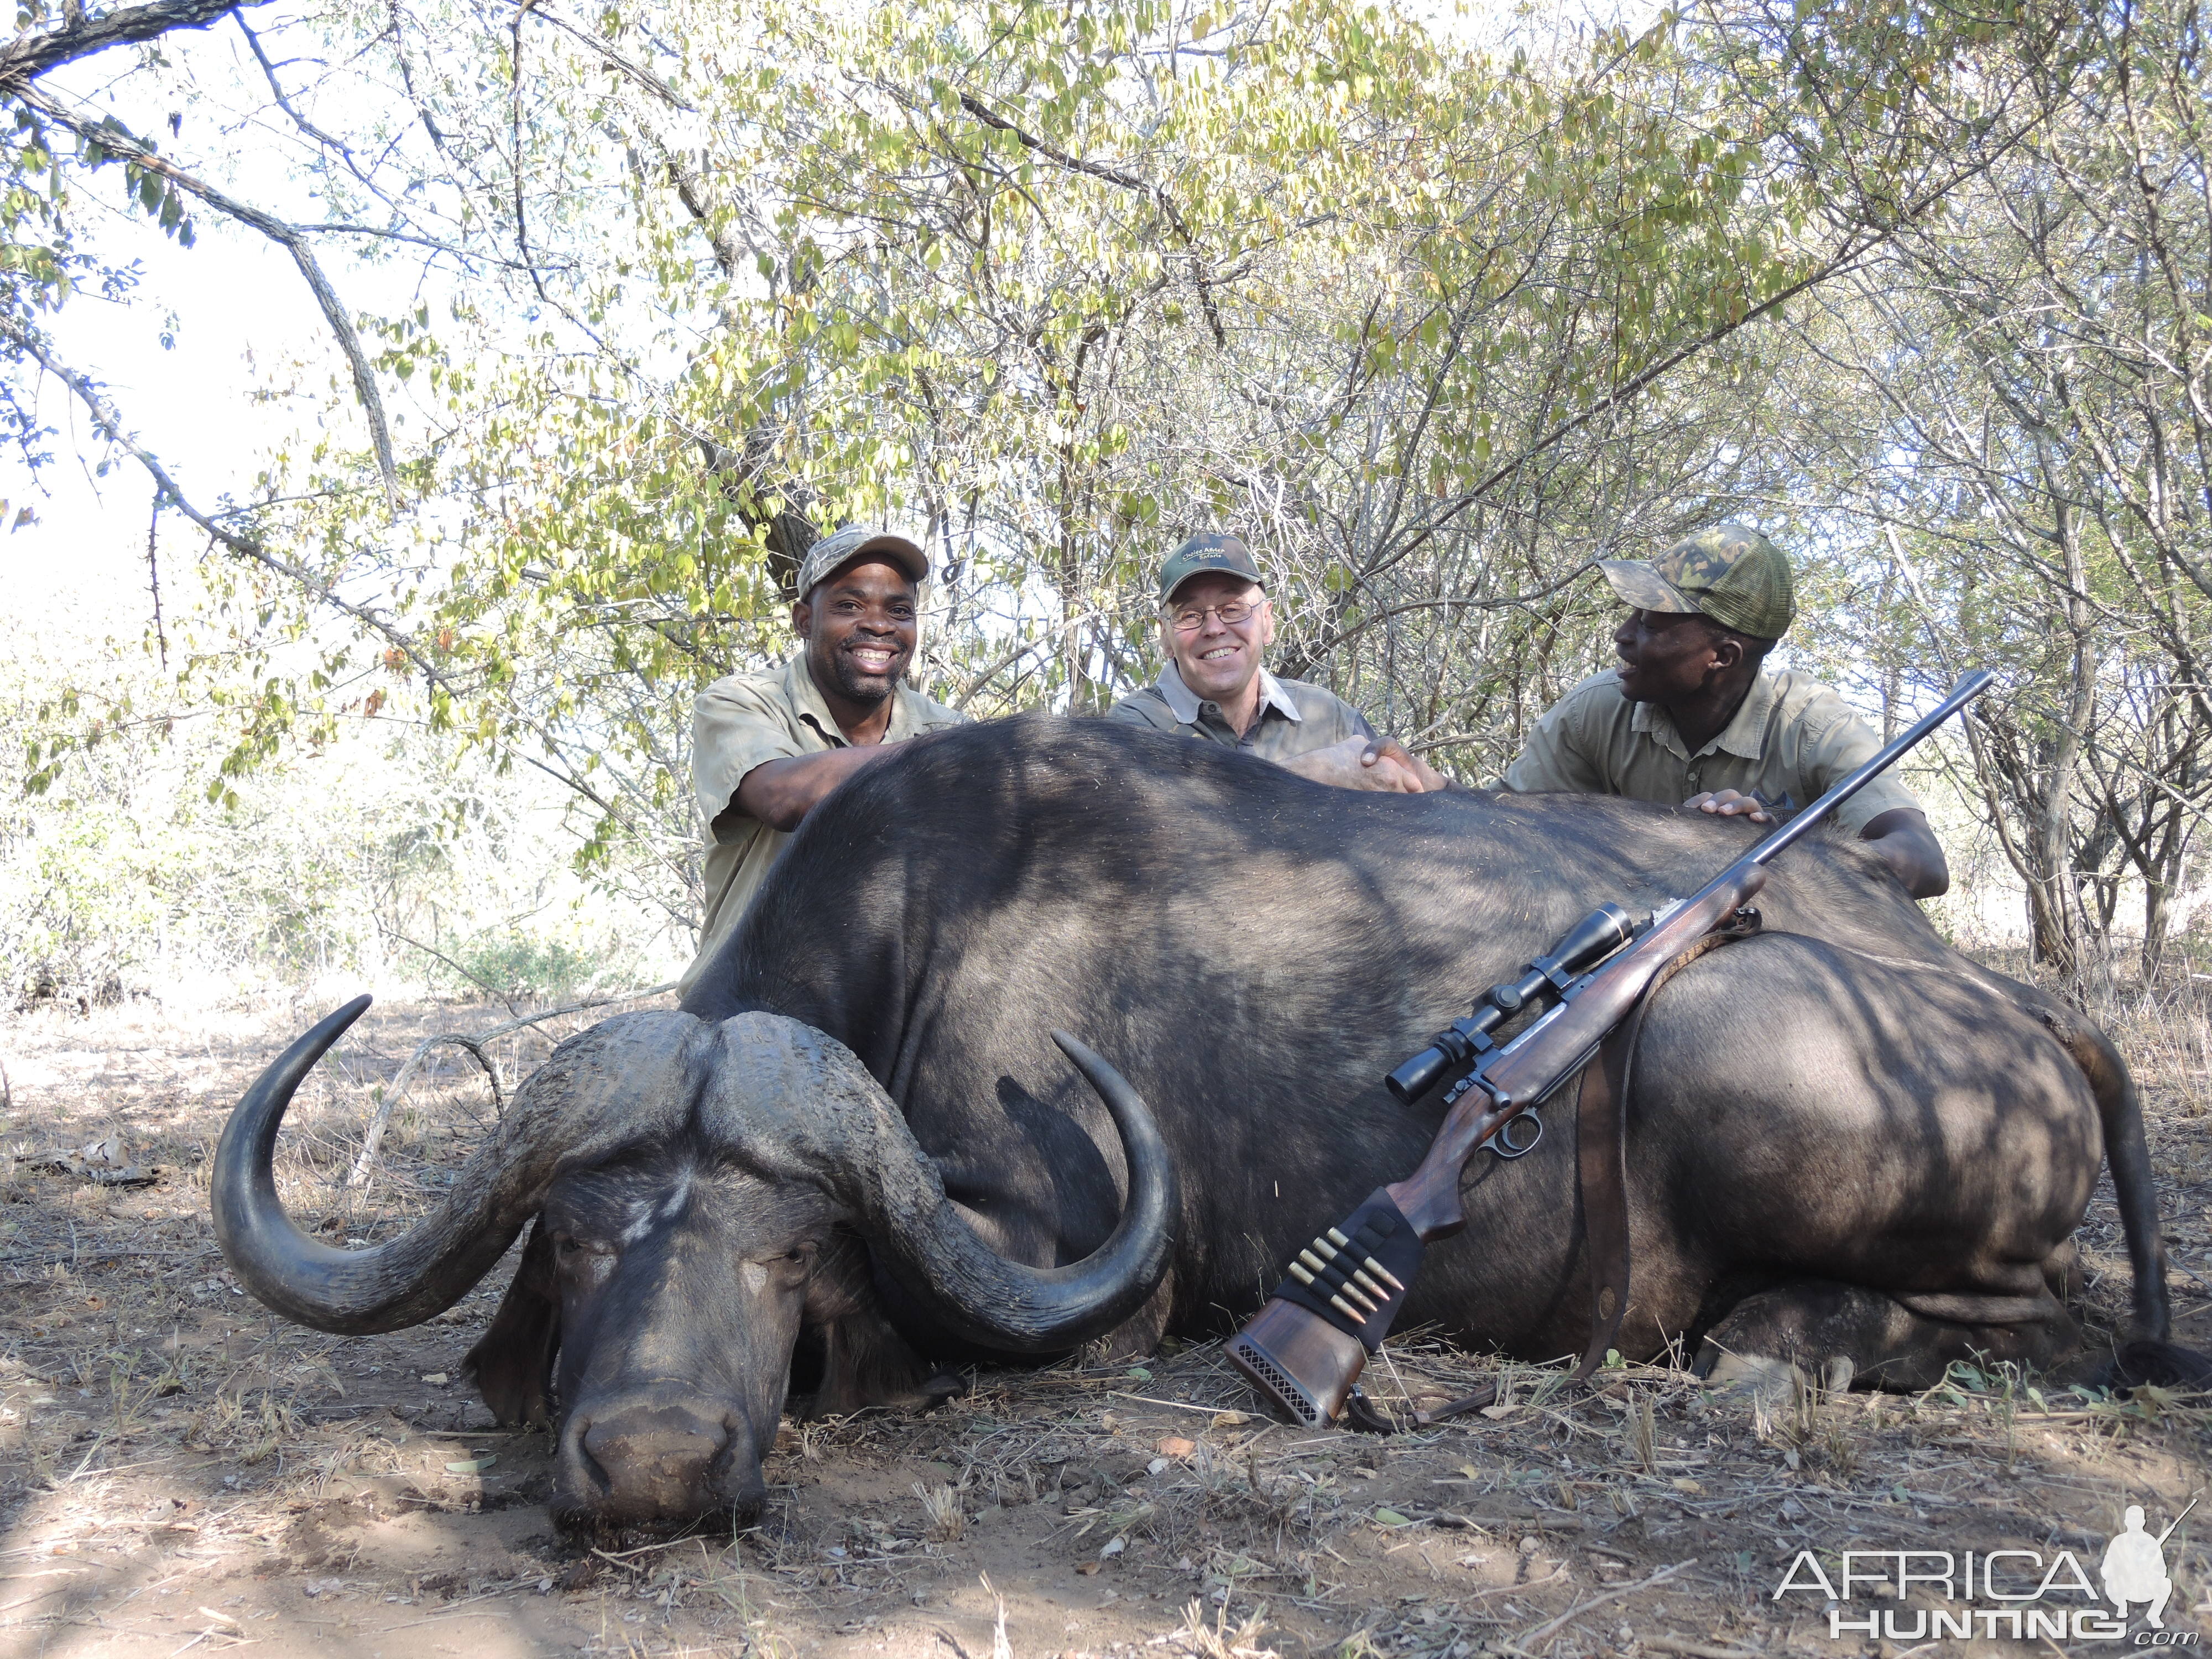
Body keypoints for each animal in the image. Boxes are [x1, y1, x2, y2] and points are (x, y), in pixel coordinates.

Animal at [208, 717, 2177, 1531]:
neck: (926, 920)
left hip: (1710, 1033)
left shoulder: (1066, 1252)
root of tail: (2024, 1009)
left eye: (793, 1250)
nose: (656, 1464)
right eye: (580, 1235)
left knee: (2060, 1320)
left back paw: (1775, 1348)